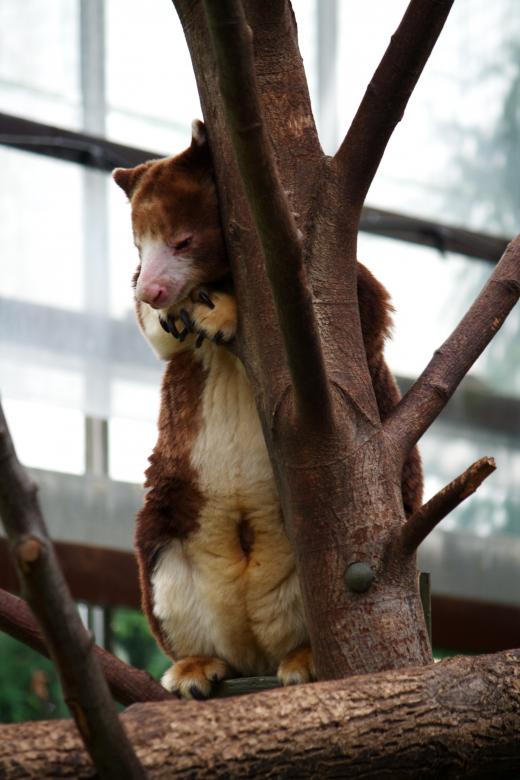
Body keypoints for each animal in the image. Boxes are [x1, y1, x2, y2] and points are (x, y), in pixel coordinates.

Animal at [113, 120, 423, 699]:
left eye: (183, 240)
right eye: (139, 245)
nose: (154, 289)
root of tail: (255, 651)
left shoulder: (331, 281)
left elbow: (360, 312)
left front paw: (221, 312)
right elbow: (160, 340)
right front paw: (176, 313)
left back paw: (306, 659)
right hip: (168, 530)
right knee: (161, 569)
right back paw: (195, 669)